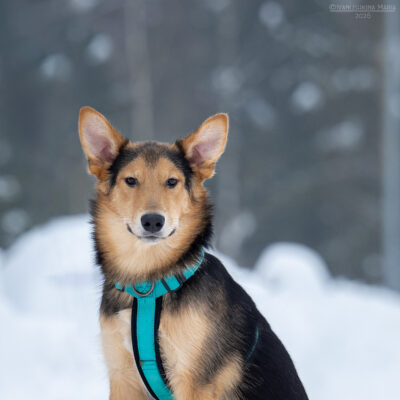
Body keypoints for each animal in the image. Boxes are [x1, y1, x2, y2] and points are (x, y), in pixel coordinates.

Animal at [78, 106, 308, 400]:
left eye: (172, 182)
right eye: (130, 180)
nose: (152, 221)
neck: (148, 282)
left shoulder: (194, 381)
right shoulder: (122, 376)